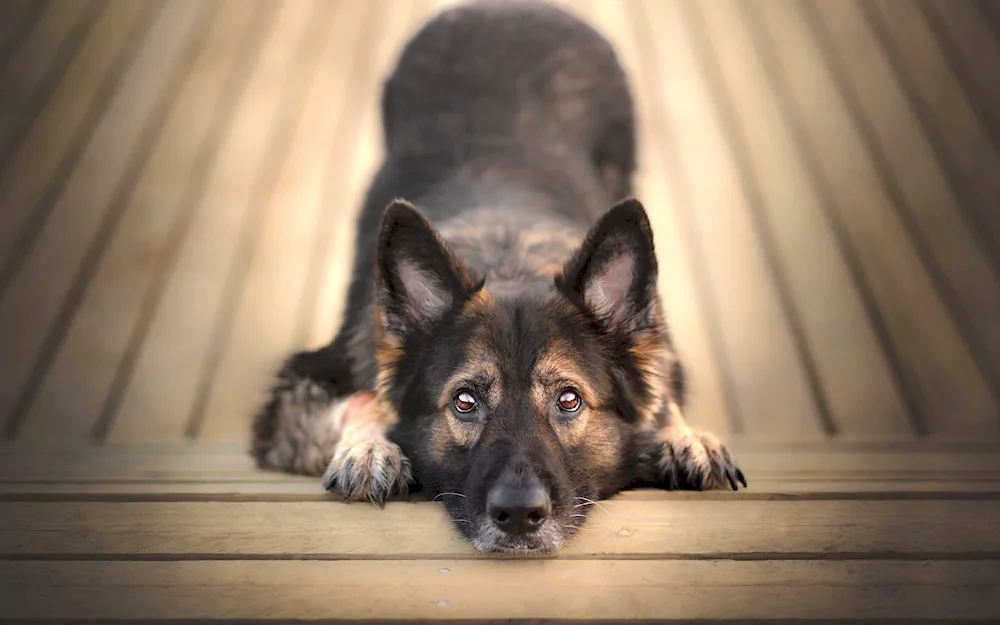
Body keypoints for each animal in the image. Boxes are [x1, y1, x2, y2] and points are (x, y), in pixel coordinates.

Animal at [254, 0, 748, 552]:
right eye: (465, 401)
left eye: (569, 400)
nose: (518, 514)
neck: (513, 261)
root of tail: (509, 6)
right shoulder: (300, 386)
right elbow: (363, 400)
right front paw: (370, 447)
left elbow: (663, 392)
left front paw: (684, 436)